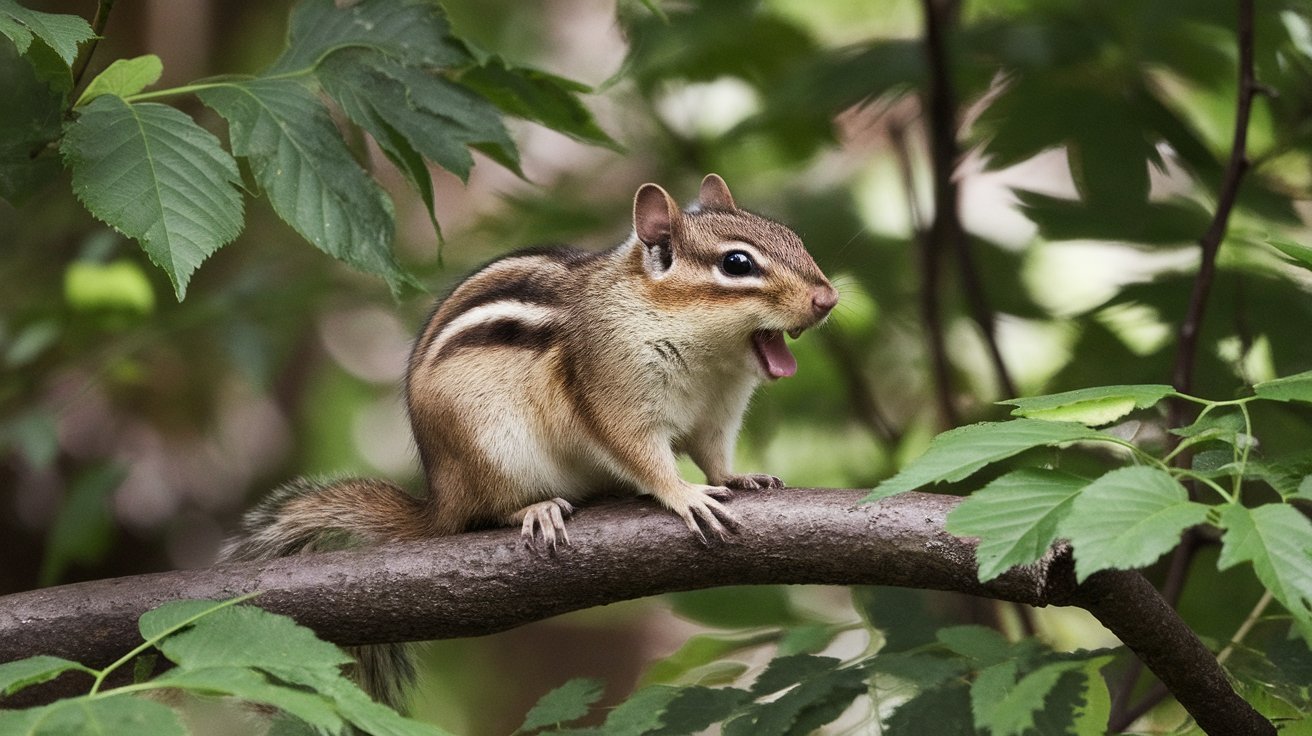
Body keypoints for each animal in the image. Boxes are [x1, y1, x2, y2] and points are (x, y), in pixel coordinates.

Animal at [219, 174, 837, 710]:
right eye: (737, 263)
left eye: (793, 237)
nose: (827, 299)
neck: (708, 356)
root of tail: (440, 500)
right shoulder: (614, 392)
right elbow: (641, 453)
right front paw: (685, 496)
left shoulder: (718, 414)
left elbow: (713, 454)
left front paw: (737, 477)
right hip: (494, 450)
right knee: (486, 513)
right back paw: (535, 510)